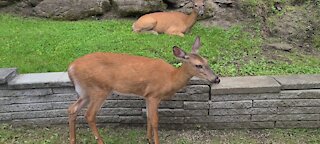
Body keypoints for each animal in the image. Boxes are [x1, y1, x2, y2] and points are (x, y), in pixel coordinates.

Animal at [67, 36, 220, 144]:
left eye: (207, 61)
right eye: (198, 65)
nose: (216, 79)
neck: (170, 78)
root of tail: (71, 67)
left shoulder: (147, 95)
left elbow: (148, 117)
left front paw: (149, 139)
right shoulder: (154, 95)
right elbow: (155, 120)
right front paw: (156, 141)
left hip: (85, 91)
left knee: (72, 109)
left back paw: (73, 140)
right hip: (99, 89)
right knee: (89, 115)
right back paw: (101, 141)